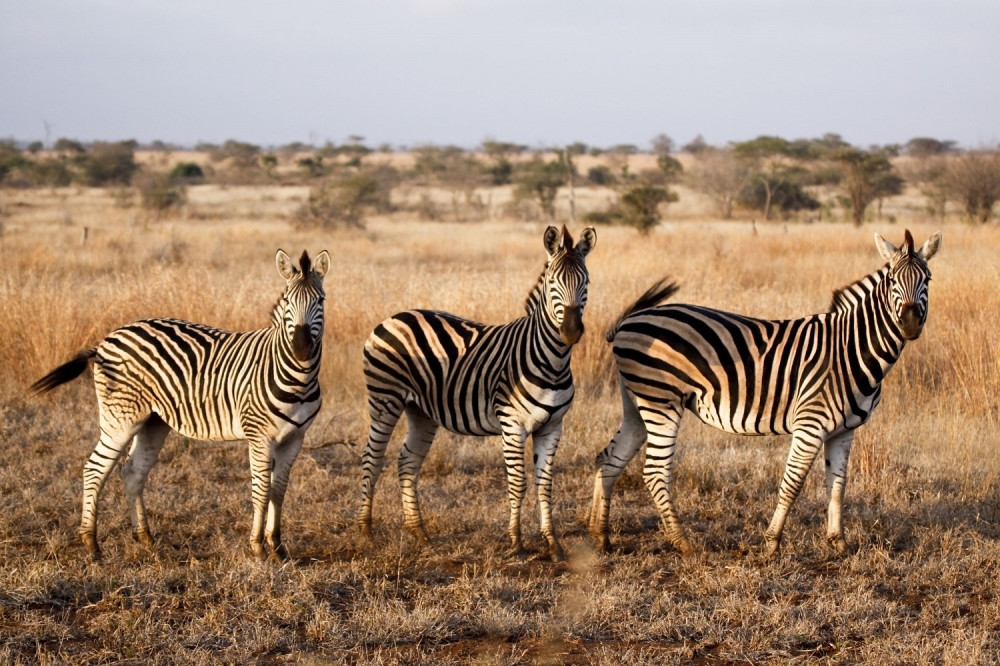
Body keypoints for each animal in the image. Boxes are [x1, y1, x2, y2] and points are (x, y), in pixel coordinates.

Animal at [30, 249, 330, 562]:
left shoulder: (295, 438)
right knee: (94, 469)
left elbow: (279, 491)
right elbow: (261, 491)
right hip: (120, 417)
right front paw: (258, 548)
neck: (297, 379)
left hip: (153, 421)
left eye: (321, 300)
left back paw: (146, 539)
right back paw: (92, 545)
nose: (301, 348)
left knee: (133, 472)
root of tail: (105, 340)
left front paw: (279, 548)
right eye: (287, 301)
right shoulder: (259, 437)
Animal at [359, 225, 596, 562]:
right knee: (372, 458)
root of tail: (394, 316)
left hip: (421, 411)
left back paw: (420, 534)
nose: (571, 332)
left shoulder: (552, 426)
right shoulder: (512, 424)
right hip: (384, 399)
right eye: (553, 283)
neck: (552, 361)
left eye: (585, 282)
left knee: (407, 461)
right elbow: (518, 483)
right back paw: (365, 532)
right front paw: (516, 542)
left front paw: (553, 544)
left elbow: (544, 485)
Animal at [589, 230, 941, 557]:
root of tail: (628, 321)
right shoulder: (810, 423)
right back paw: (683, 542)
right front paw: (772, 543)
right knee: (655, 472)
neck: (850, 348)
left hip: (637, 402)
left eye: (927, 278)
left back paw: (600, 535)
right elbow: (792, 484)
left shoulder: (844, 430)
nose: (910, 323)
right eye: (892, 280)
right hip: (661, 401)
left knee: (610, 457)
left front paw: (838, 543)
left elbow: (837, 485)